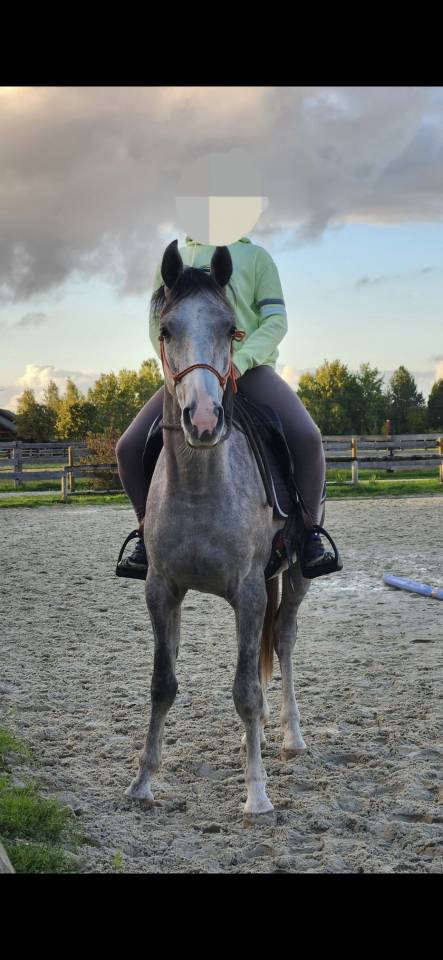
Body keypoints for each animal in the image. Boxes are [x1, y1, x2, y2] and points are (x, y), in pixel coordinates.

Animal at [125, 240, 310, 816]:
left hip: (295, 577)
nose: (204, 420)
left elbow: (245, 691)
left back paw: (292, 736)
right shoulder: (161, 589)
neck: (201, 484)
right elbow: (162, 683)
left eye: (232, 329)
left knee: (286, 642)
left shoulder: (248, 593)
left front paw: (257, 795)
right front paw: (143, 781)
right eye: (165, 329)